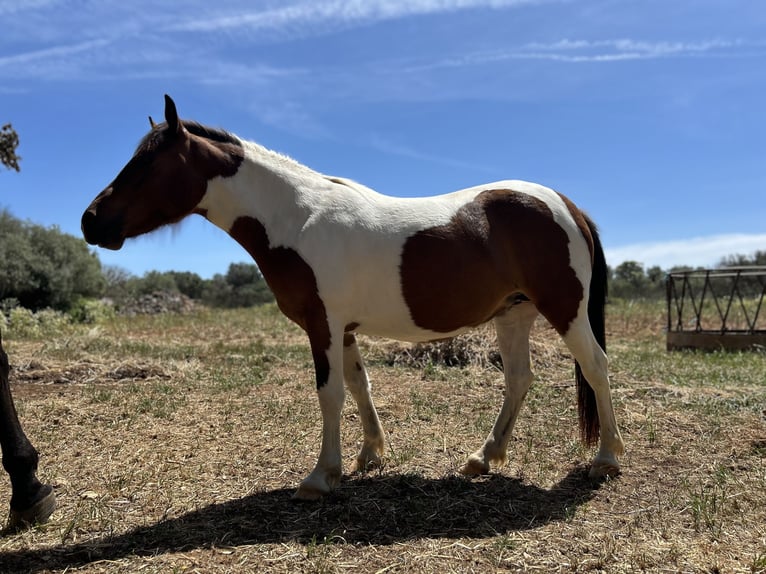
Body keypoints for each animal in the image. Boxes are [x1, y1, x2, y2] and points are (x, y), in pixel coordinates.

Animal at [82, 95, 624, 500]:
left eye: (147, 165)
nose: (90, 221)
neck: (297, 219)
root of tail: (566, 205)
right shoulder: (341, 330)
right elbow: (359, 386)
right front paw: (368, 456)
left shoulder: (323, 325)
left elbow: (330, 394)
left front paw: (321, 476)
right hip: (514, 314)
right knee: (518, 380)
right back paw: (483, 457)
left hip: (565, 310)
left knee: (596, 367)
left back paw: (607, 458)